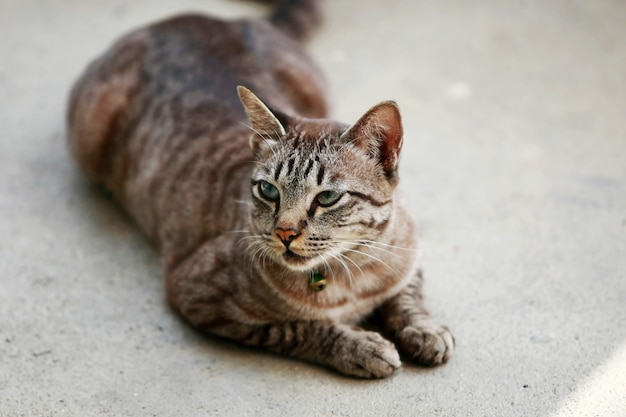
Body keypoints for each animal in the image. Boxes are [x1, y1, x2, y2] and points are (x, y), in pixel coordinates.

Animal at [67, 0, 454, 376]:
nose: (285, 233)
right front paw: (359, 346)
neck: (350, 272)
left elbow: (407, 296)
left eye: (327, 197)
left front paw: (425, 329)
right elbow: (300, 327)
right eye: (269, 191)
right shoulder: (199, 297)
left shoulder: (410, 254)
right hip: (88, 138)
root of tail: (188, 18)